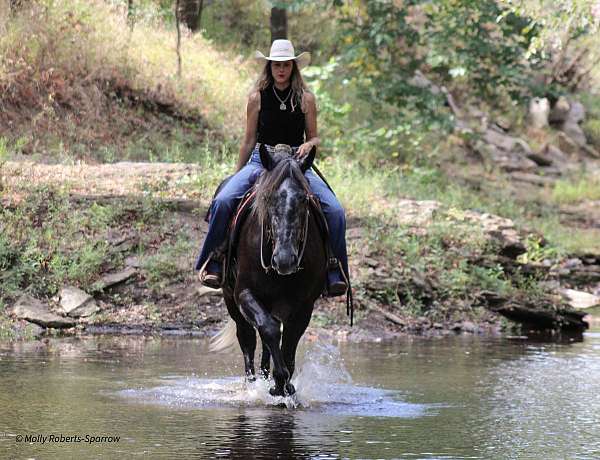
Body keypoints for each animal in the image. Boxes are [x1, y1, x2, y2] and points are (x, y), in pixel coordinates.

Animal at [209, 144, 326, 396]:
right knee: (248, 338)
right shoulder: (244, 293)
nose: (285, 259)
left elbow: (288, 342)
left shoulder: (304, 305)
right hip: (231, 300)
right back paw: (252, 384)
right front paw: (279, 381)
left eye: (304, 200)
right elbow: (270, 331)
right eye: (268, 197)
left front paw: (284, 384)